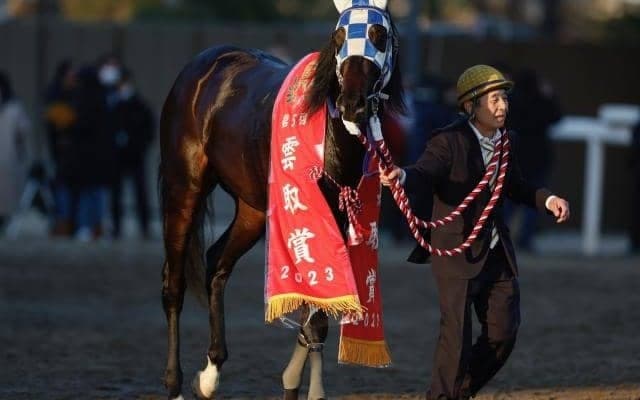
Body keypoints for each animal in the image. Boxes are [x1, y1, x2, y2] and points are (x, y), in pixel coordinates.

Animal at [158, 1, 404, 399]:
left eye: (377, 35)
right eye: (339, 36)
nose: (352, 104)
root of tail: (201, 67)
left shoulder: (336, 219)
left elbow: (314, 315)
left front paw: (292, 384)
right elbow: (313, 315)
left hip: (253, 210)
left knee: (216, 264)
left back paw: (210, 375)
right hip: (184, 188)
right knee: (174, 284)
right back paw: (175, 384)